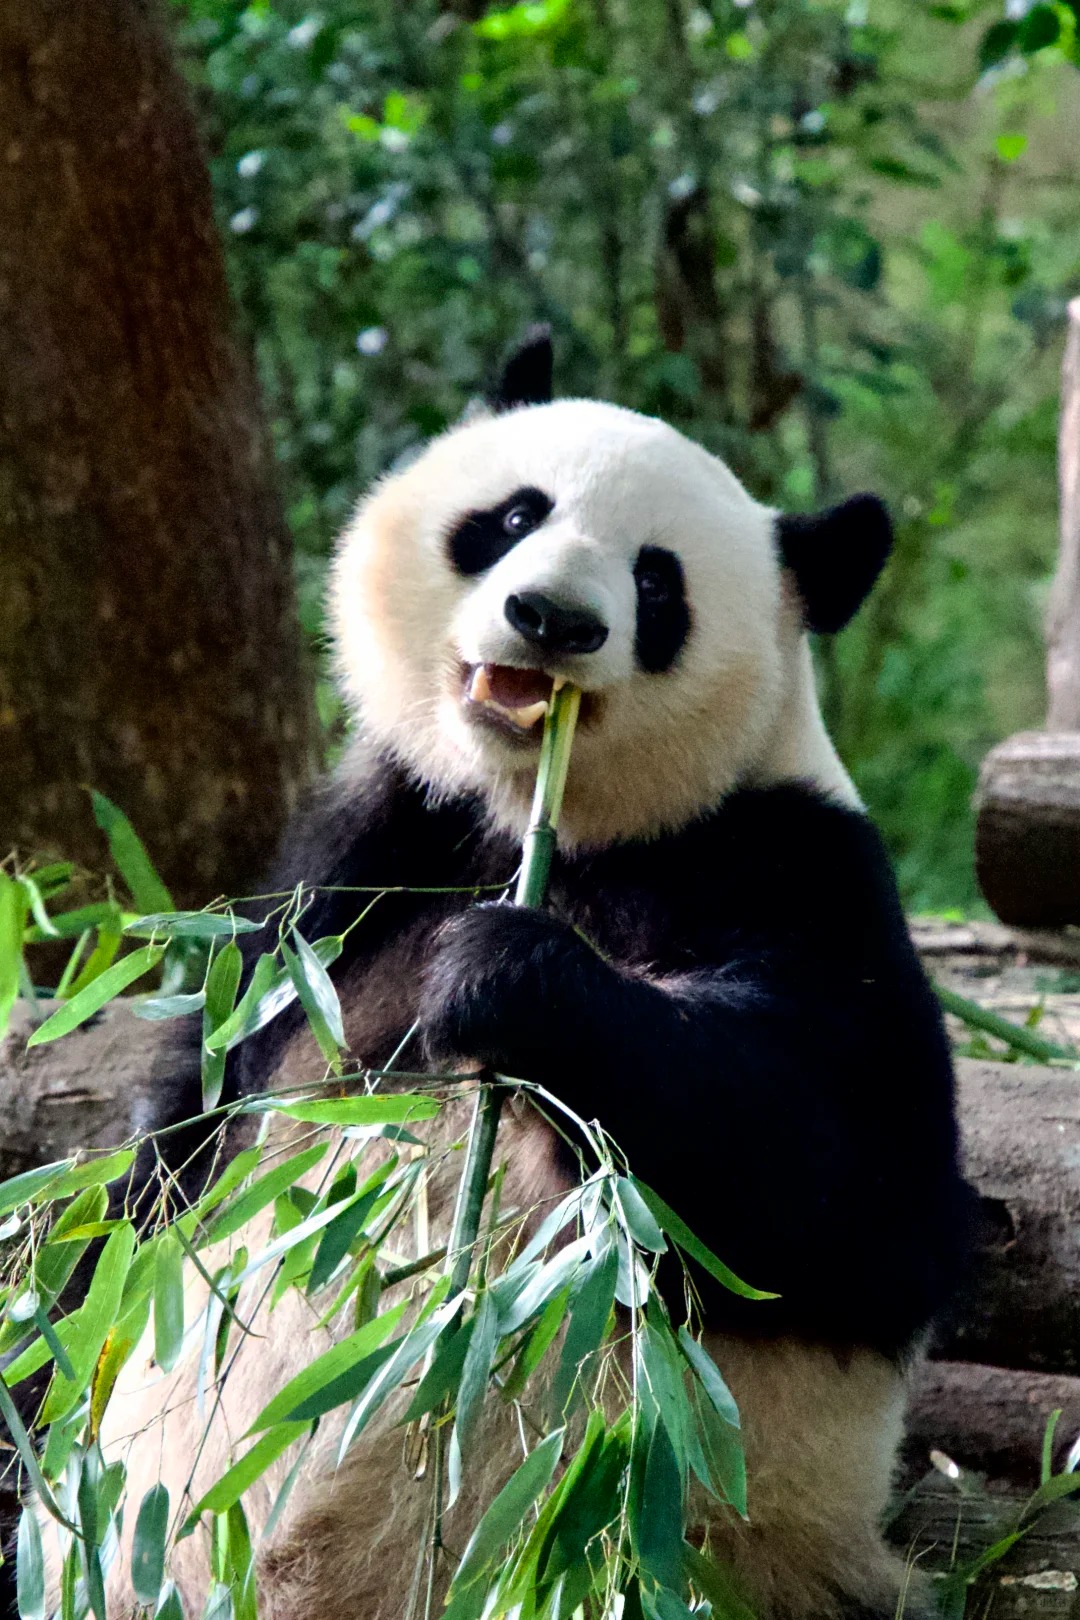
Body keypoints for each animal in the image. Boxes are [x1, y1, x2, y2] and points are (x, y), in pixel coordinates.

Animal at [98, 330, 970, 1620]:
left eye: (658, 585)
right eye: (515, 515)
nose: (552, 618)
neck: (538, 821)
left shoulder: (794, 868)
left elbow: (858, 1200)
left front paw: (501, 976)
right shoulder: (371, 854)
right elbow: (190, 1122)